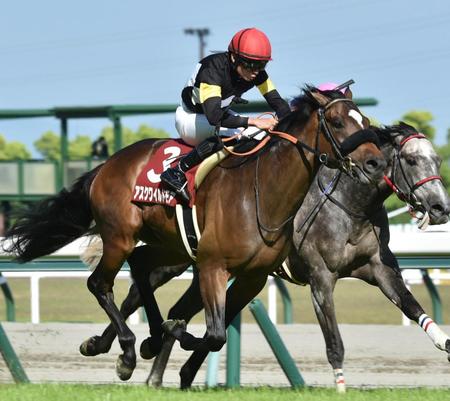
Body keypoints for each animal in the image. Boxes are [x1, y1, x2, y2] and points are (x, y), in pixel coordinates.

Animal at [2, 84, 384, 378]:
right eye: (336, 121)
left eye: (365, 122)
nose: (375, 163)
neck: (263, 193)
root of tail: (106, 165)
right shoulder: (213, 265)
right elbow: (214, 335)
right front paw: (172, 333)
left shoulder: (252, 277)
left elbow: (218, 329)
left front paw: (164, 333)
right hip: (119, 236)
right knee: (100, 283)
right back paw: (127, 350)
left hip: (168, 245)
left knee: (140, 267)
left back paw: (136, 340)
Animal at [80, 121, 450, 388]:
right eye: (412, 160)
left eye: (437, 160)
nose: (440, 208)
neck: (349, 206)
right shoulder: (320, 277)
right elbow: (333, 340)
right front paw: (340, 386)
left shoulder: (379, 269)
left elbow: (413, 307)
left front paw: (445, 344)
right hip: (178, 257)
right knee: (135, 292)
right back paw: (120, 351)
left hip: (200, 265)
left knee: (175, 309)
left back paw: (155, 366)